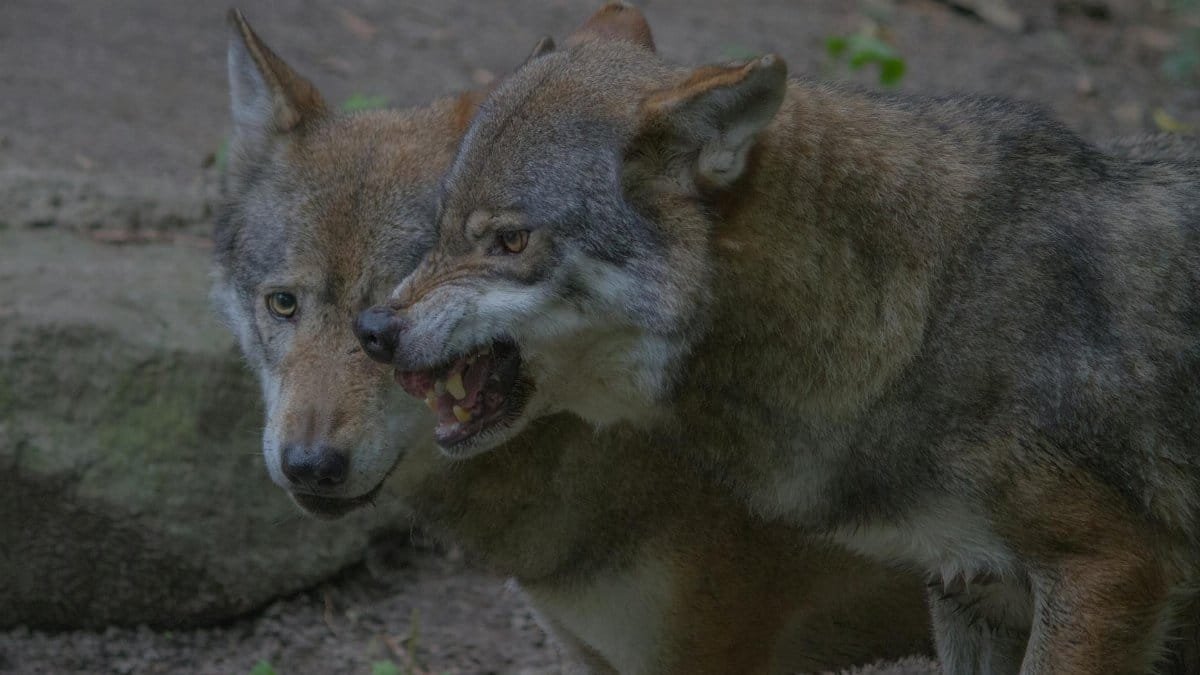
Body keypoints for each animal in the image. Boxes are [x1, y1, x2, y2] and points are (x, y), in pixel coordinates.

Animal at [359, 4, 1200, 673]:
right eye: (442, 227)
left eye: (509, 240)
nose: (373, 329)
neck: (921, 311)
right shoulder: (972, 589)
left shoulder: (1109, 571)